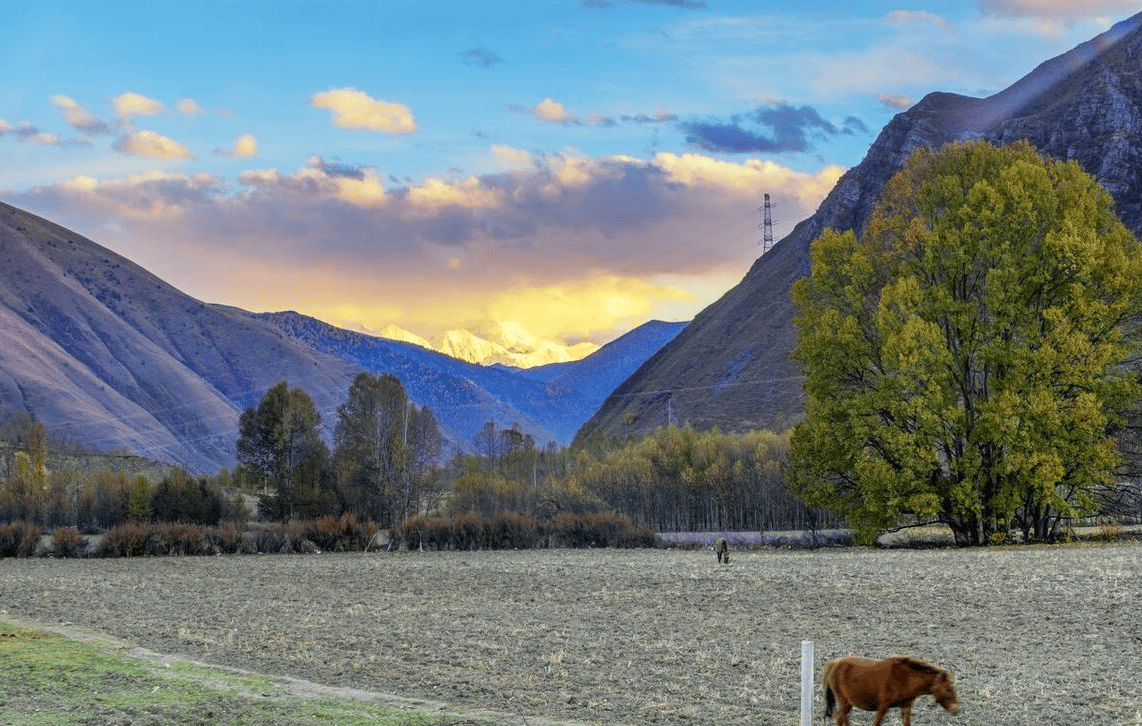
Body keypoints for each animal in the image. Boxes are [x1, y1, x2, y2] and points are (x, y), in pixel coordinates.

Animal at [826, 652, 959, 721]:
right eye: (948, 689)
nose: (957, 709)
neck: (905, 678)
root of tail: (834, 664)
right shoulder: (883, 707)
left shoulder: (906, 707)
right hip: (844, 702)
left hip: (847, 703)